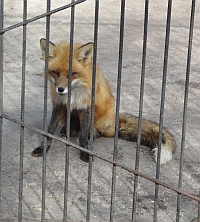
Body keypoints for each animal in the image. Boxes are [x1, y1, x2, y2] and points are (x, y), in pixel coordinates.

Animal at [30, 38, 175, 165]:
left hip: (100, 122)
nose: (60, 89)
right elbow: (49, 132)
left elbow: (82, 137)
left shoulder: (85, 107)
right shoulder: (59, 104)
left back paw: (91, 134)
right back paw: (66, 130)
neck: (73, 94)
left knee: (98, 133)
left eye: (73, 74)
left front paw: (85, 152)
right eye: (55, 72)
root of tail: (115, 118)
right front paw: (43, 148)